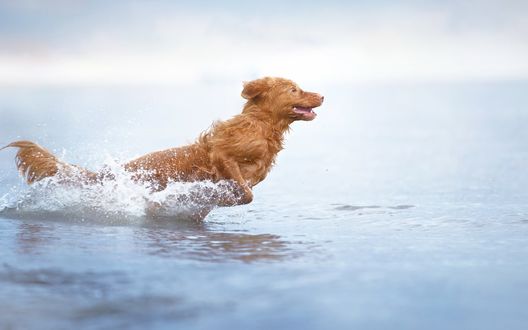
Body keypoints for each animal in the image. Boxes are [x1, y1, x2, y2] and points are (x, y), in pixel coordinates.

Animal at [1, 77, 322, 209]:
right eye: (294, 89)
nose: (322, 96)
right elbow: (245, 192)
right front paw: (231, 197)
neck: (262, 125)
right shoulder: (223, 156)